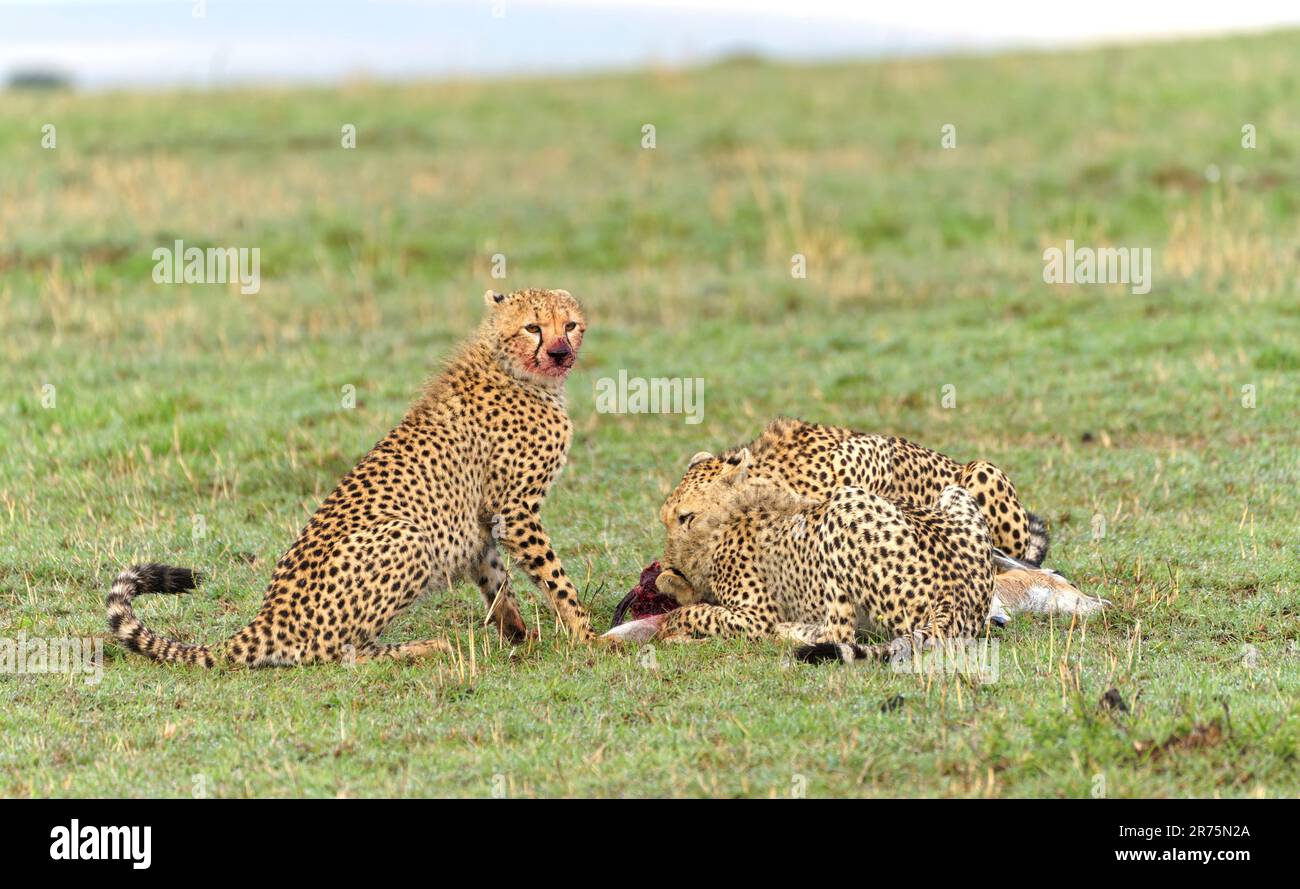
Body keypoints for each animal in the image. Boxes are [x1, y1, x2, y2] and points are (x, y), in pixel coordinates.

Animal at [109, 285, 595, 665]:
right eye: (533, 328)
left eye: (569, 325)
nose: (560, 352)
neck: (512, 367)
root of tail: (267, 616)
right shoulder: (514, 511)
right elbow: (555, 578)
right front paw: (590, 637)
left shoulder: (482, 519)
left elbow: (497, 582)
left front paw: (521, 636)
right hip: (407, 536)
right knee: (336, 650)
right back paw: (422, 649)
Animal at [655, 452, 987, 660]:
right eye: (665, 518)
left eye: (686, 516)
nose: (668, 564)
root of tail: (956, 595)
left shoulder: (757, 617)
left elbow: (694, 612)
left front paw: (669, 626)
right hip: (953, 492)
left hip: (844, 506)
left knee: (839, 633)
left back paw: (790, 632)